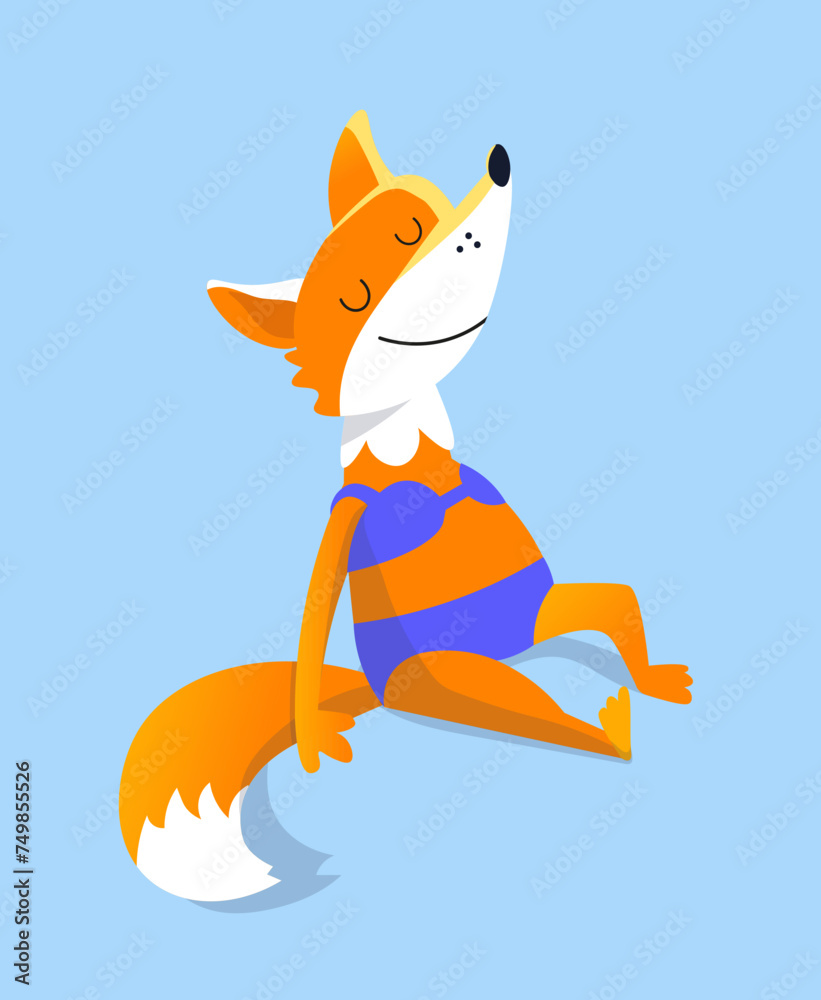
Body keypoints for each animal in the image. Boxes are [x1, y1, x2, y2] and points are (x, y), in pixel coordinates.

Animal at [119, 111, 692, 905]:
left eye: (415, 222)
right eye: (357, 296)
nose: (496, 170)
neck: (412, 454)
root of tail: (375, 684)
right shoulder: (351, 505)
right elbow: (315, 606)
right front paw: (312, 742)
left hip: (541, 613)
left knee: (613, 603)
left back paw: (648, 683)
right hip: (456, 677)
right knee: (544, 712)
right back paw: (606, 730)